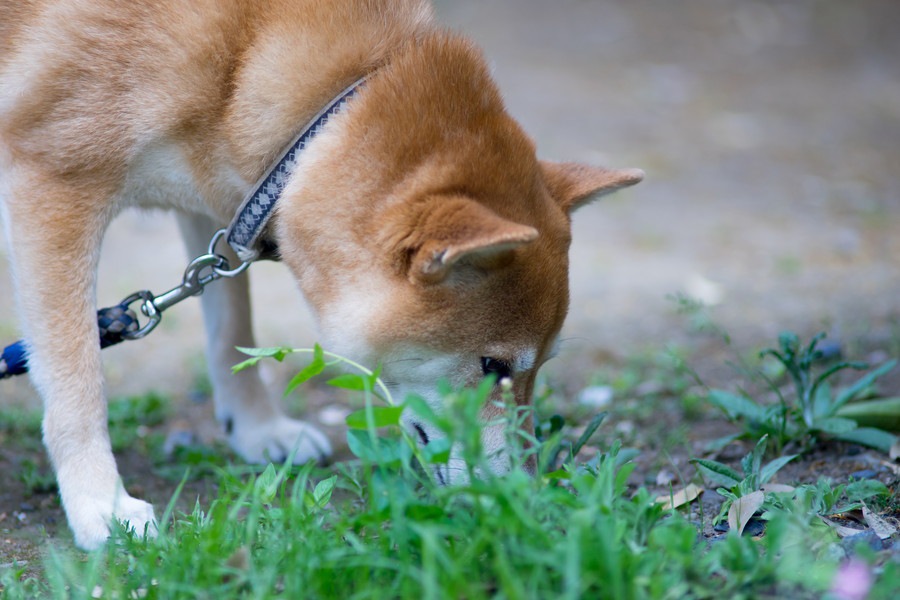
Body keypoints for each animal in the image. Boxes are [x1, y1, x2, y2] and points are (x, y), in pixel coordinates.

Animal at [3, 0, 644, 552]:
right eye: (493, 367)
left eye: (540, 368)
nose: (527, 496)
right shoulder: (51, 187)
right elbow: (78, 381)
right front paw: (101, 506)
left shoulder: (217, 207)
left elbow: (231, 330)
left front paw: (257, 430)